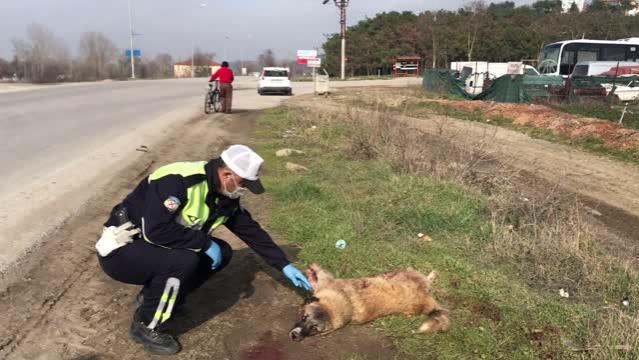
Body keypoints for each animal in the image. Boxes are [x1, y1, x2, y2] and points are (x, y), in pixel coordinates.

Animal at [290, 262, 450, 340]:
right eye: (303, 318)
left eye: (314, 329)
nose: (295, 336)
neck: (347, 302)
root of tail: (427, 298)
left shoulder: (328, 283)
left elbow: (320, 276)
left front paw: (313, 272)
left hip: (409, 273)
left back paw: (432, 275)